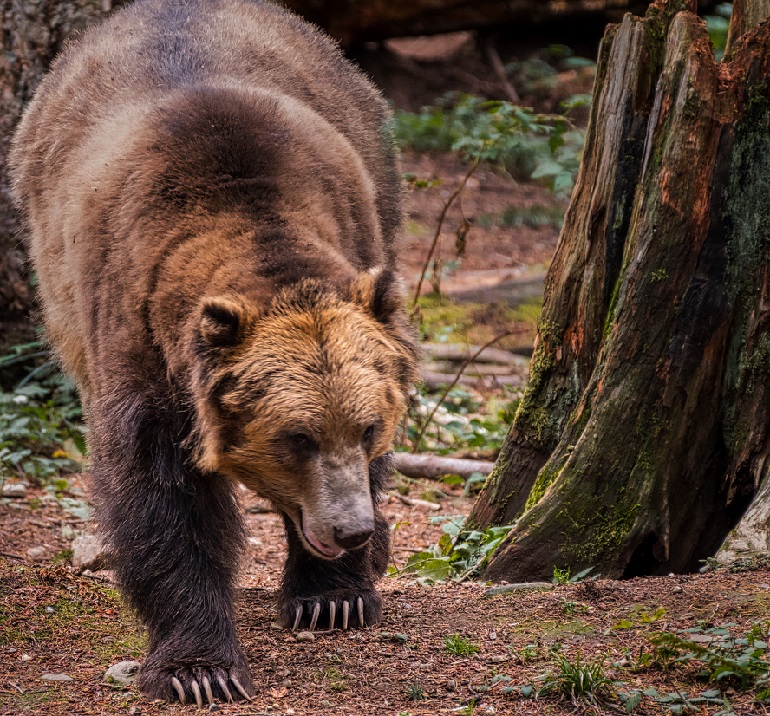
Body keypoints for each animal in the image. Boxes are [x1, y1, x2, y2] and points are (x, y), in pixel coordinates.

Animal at [9, 0, 416, 704]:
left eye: (368, 428)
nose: (351, 529)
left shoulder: (356, 226)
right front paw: (199, 668)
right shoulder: (142, 331)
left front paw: (332, 597)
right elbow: (162, 492)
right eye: (296, 437)